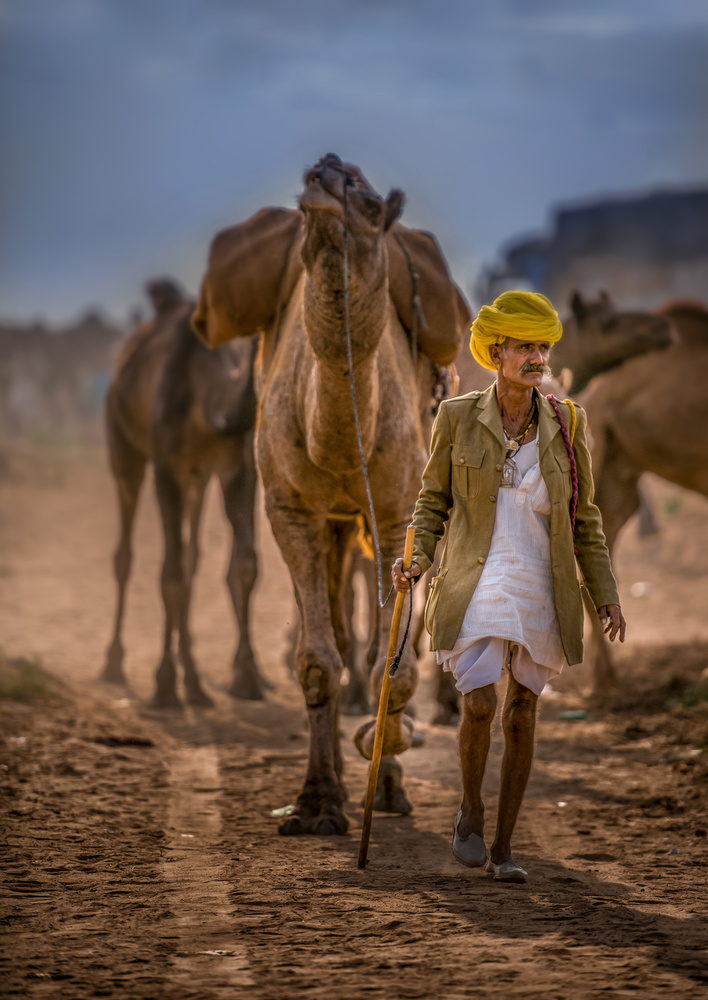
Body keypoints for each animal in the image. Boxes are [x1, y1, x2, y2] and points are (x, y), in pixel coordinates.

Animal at [103, 278, 263, 708]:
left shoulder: (235, 465)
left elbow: (245, 563)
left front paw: (246, 679)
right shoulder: (166, 467)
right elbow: (169, 573)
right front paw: (162, 684)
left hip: (199, 476)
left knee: (192, 558)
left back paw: (194, 679)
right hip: (123, 446)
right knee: (125, 554)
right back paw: (114, 664)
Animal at [194, 153, 467, 834]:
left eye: (368, 202)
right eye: (309, 185)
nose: (325, 171)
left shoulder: (397, 513)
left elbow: (392, 664)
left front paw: (385, 749)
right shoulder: (289, 510)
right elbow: (318, 658)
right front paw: (316, 801)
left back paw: (385, 784)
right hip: (333, 524)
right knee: (339, 637)